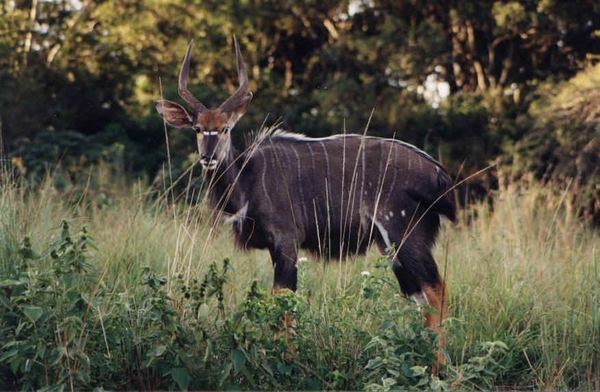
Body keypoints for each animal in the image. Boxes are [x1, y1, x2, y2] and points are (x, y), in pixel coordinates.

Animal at [157, 36, 458, 368]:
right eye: (197, 128)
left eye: (225, 128)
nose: (207, 157)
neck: (248, 179)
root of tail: (438, 174)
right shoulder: (276, 247)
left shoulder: (287, 240)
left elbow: (282, 299)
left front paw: (285, 361)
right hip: (392, 246)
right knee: (421, 295)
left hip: (403, 231)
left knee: (436, 288)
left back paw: (437, 367)